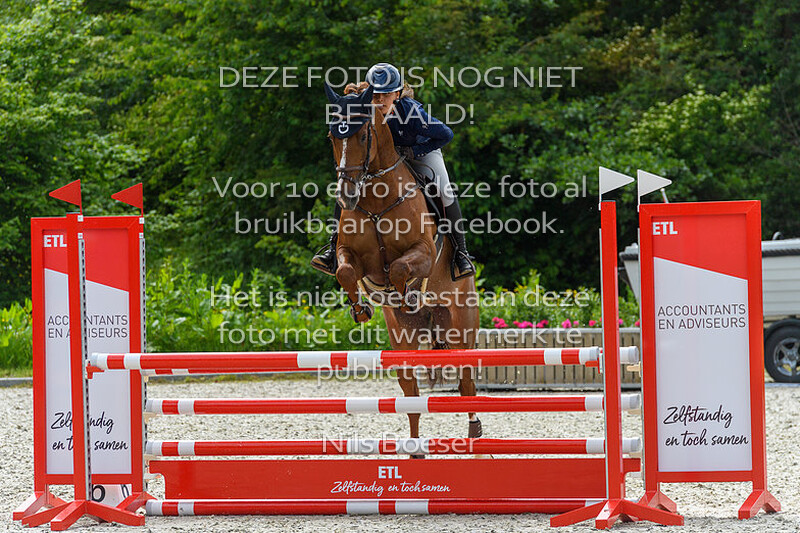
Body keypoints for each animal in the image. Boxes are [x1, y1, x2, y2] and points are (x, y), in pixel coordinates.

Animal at [324, 83, 482, 444]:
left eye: (363, 134)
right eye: (332, 135)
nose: (347, 196)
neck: (375, 199)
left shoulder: (423, 251)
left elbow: (399, 268)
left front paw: (407, 295)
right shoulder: (352, 258)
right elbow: (345, 271)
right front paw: (361, 309)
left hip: (461, 326)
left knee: (466, 382)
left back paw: (475, 430)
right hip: (403, 339)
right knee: (411, 395)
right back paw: (415, 447)